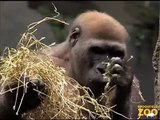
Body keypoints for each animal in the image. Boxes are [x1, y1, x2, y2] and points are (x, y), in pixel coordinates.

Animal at [0, 10, 144, 119]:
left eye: (116, 53)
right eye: (97, 50)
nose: (103, 69)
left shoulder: (135, 85)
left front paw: (122, 81)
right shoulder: (38, 60)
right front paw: (19, 96)